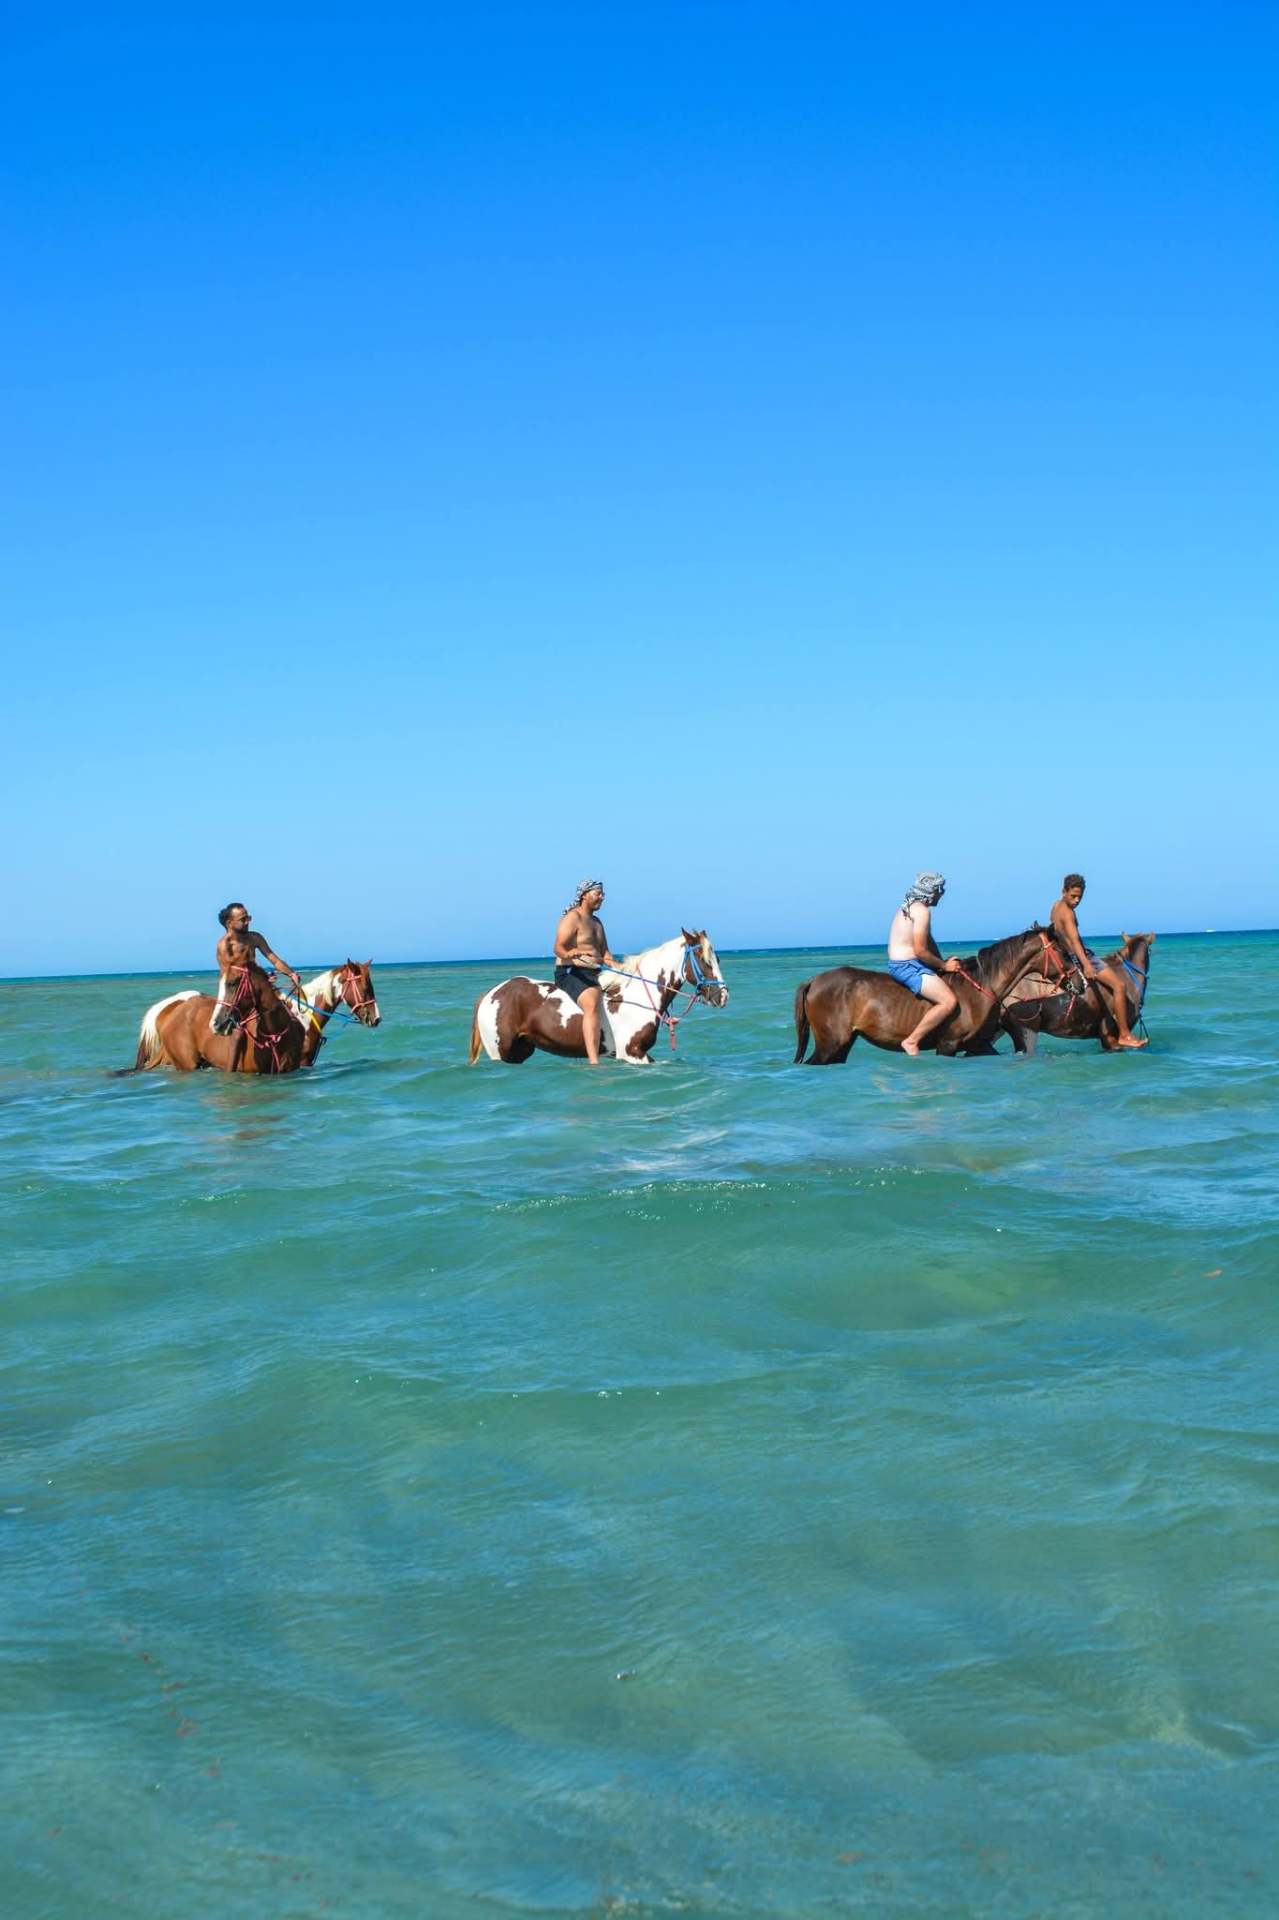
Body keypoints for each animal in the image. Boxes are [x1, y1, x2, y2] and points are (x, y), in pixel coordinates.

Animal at [469, 929, 729, 1065]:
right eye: (704, 960)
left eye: (717, 958)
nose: (722, 996)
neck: (636, 998)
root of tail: (491, 993)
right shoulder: (631, 1053)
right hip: (500, 1052)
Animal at [793, 926, 1070, 1064]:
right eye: (1063, 951)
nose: (1075, 978)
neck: (980, 987)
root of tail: (814, 980)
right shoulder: (947, 1045)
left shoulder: (978, 1045)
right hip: (830, 1045)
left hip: (842, 1045)